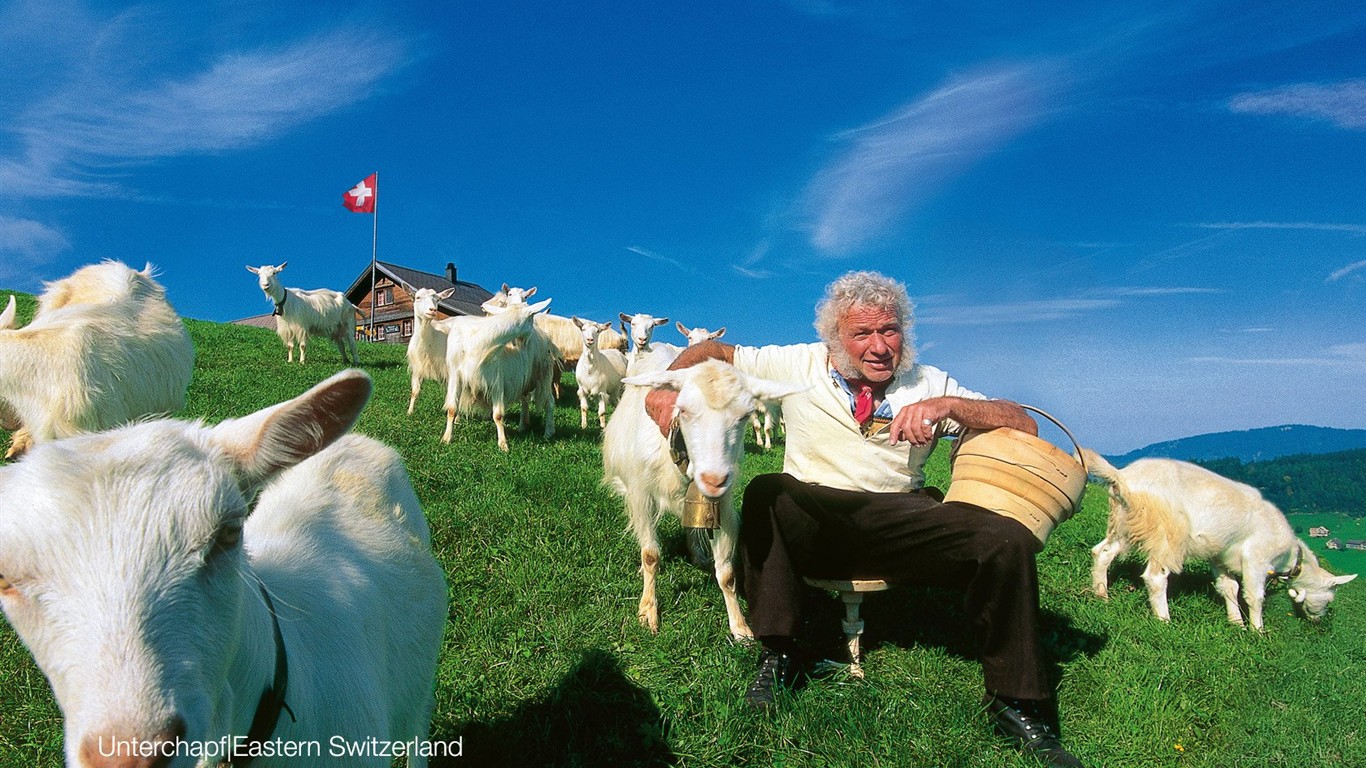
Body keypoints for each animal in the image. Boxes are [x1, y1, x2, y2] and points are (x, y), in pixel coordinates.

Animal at [445, 293, 557, 448]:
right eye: (531, 318)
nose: (524, 343)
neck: (476, 340)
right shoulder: (456, 375)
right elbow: (452, 409)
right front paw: (446, 438)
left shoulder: (497, 380)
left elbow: (498, 415)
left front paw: (503, 444)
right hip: (525, 377)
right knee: (525, 399)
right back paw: (523, 426)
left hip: (544, 374)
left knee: (549, 402)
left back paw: (548, 432)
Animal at [601, 358, 797, 639]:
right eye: (683, 410)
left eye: (744, 415)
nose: (714, 479)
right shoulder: (641, 495)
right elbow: (650, 555)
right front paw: (648, 610)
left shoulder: (722, 505)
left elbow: (726, 573)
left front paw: (740, 627)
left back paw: (698, 554)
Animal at [1081, 445, 1349, 631]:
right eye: (1329, 598)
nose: (1317, 620)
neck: (1290, 557)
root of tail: (1122, 477)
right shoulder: (1256, 558)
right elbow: (1254, 596)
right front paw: (1257, 631)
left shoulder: (1219, 556)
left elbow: (1229, 588)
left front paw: (1236, 623)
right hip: (1166, 535)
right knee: (1156, 577)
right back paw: (1164, 620)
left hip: (1123, 524)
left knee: (1102, 552)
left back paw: (1101, 595)